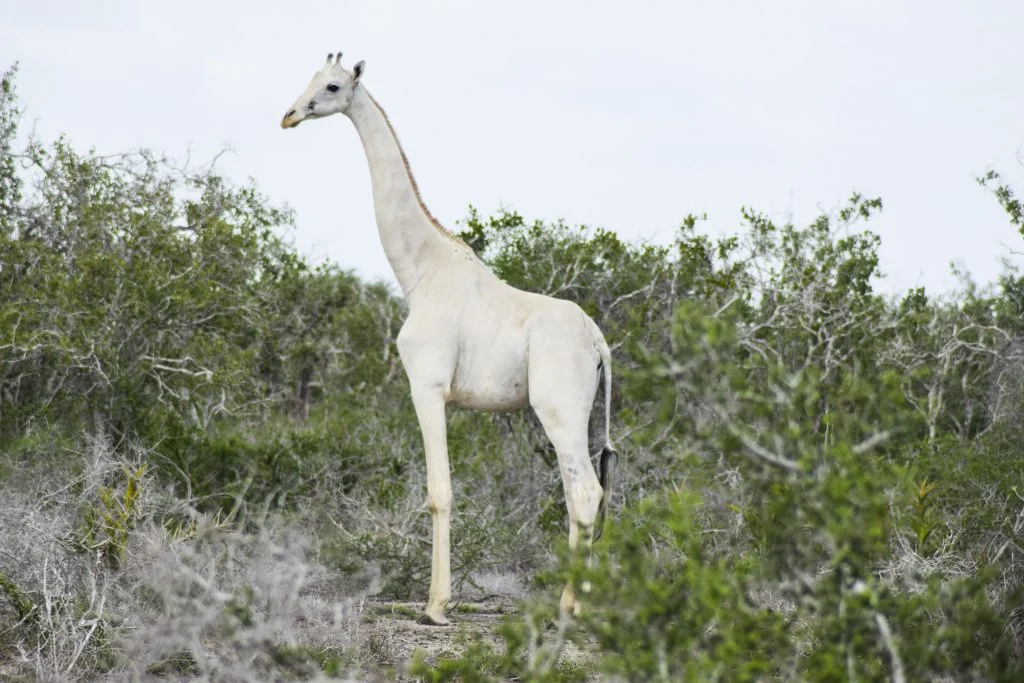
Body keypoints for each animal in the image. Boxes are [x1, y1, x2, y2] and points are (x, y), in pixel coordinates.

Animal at [281, 53, 616, 625]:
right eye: (309, 79)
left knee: (585, 492)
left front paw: (436, 606)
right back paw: (583, 605)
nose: (290, 115)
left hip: (558, 409)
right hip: (581, 412)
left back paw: (568, 609)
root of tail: (600, 344)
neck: (419, 271)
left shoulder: (428, 385)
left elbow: (440, 490)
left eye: (332, 86)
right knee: (587, 494)